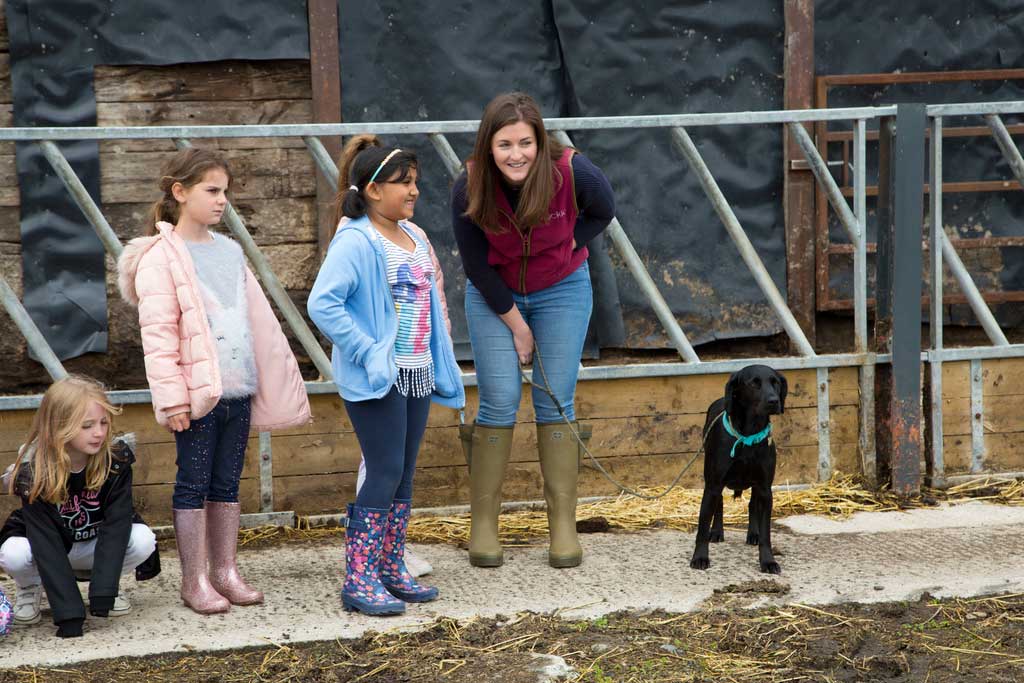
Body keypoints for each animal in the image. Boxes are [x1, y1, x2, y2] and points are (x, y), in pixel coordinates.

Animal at [692, 366, 786, 573]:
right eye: (754, 383)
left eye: (775, 382)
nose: (774, 401)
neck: (748, 435)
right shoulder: (712, 486)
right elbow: (702, 527)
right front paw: (700, 557)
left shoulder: (765, 489)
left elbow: (766, 533)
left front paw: (768, 561)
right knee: (719, 503)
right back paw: (717, 531)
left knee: (752, 505)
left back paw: (753, 533)